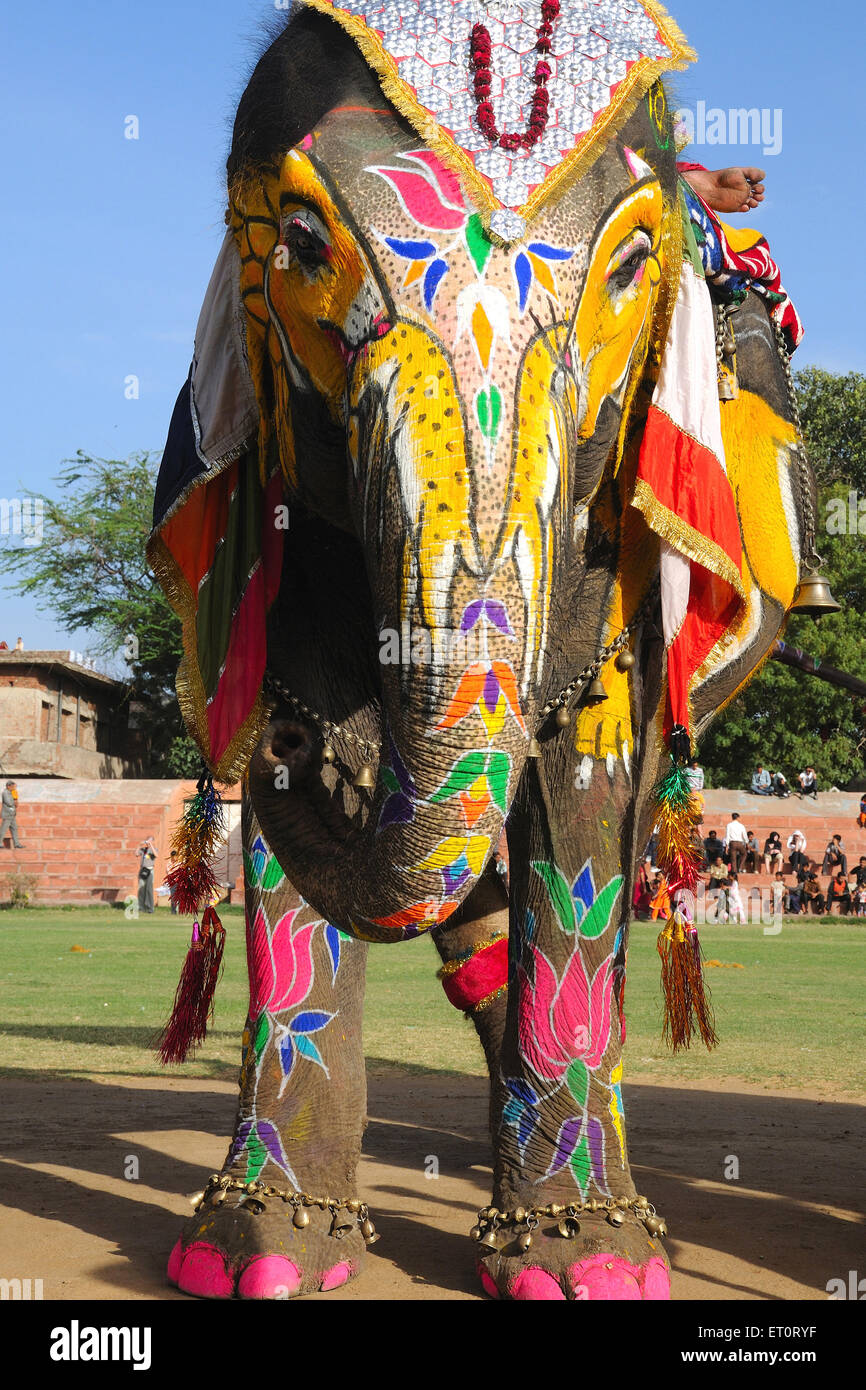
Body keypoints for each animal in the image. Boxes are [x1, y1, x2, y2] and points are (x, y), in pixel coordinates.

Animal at [148, 0, 813, 1301]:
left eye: (629, 263)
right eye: (298, 238)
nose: (288, 738)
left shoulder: (616, 535)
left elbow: (585, 793)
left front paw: (589, 1267)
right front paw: (256, 1258)